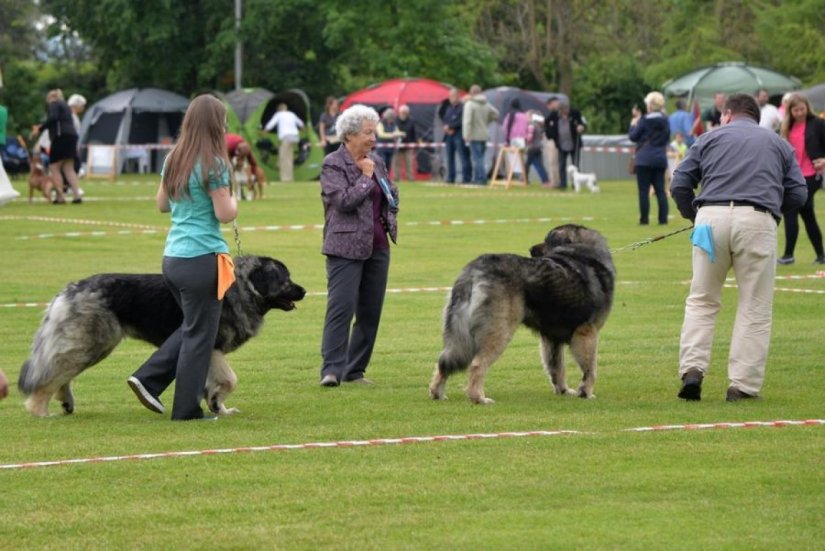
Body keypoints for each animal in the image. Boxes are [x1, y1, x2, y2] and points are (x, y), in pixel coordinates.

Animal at [16, 256, 306, 416]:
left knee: (61, 374)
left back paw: (64, 403)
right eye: (286, 279)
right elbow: (230, 380)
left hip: (93, 347)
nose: (303, 291)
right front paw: (217, 403)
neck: (242, 288)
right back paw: (39, 410)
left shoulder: (209, 352)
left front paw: (218, 408)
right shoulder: (211, 347)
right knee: (50, 375)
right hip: (92, 345)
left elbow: (213, 384)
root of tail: (70, 290)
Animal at [432, 225, 612, 406]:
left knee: (444, 361)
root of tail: (474, 270)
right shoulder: (587, 332)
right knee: (477, 364)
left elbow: (557, 367)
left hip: (459, 332)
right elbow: (590, 369)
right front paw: (586, 393)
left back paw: (437, 393)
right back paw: (479, 398)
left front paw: (564, 391)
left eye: (548, 241)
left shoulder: (551, 338)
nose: (531, 249)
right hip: (500, 331)